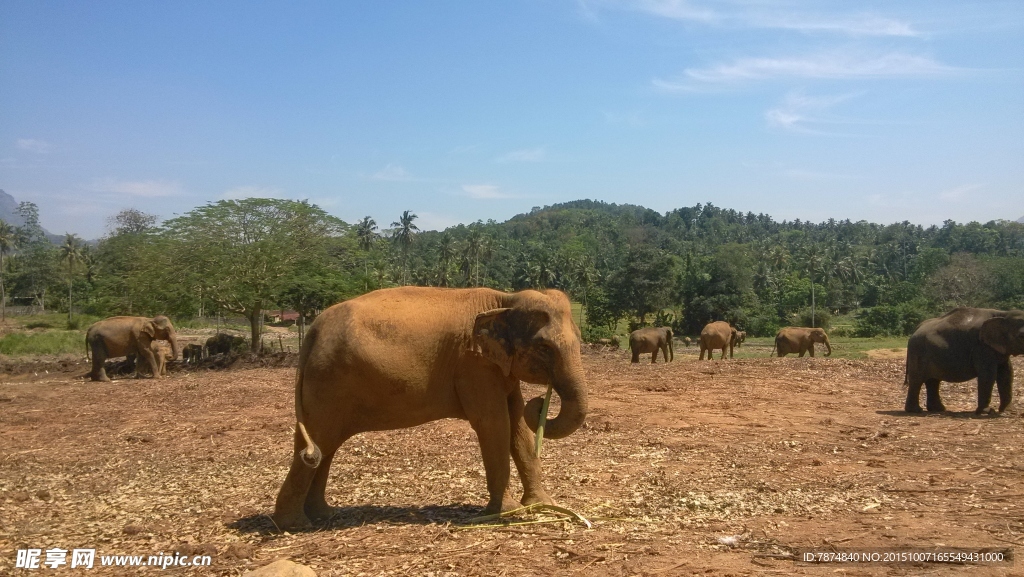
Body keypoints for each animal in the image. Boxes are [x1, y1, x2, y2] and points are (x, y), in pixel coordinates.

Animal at [274, 286, 593, 528]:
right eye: (544, 348)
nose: (541, 402)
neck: (505, 299)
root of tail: (313, 330)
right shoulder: (473, 365)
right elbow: (494, 423)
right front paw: (506, 511)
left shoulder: (497, 367)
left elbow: (517, 424)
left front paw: (542, 505)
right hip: (327, 382)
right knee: (318, 442)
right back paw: (296, 525)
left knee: (321, 446)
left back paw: (323, 515)